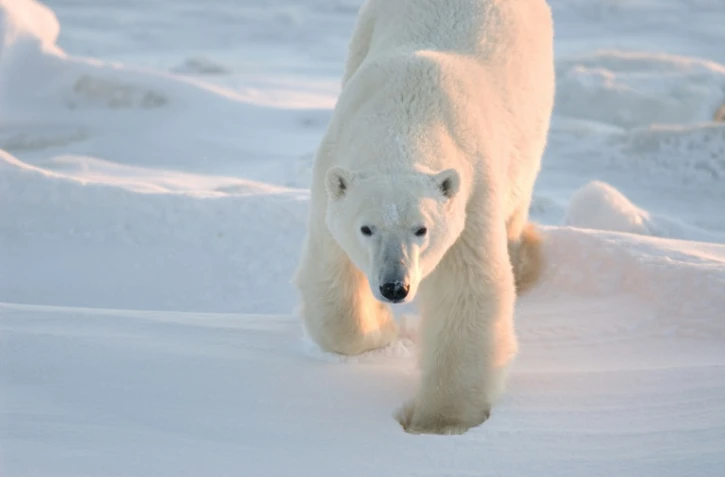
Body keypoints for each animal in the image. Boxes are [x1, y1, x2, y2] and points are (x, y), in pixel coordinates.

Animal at [294, 0, 554, 435]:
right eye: (366, 228)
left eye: (422, 229)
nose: (394, 287)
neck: (408, 109)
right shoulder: (330, 171)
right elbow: (331, 275)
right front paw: (381, 328)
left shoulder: (473, 189)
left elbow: (466, 289)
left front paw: (438, 422)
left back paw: (525, 257)